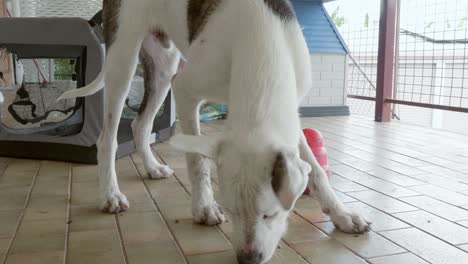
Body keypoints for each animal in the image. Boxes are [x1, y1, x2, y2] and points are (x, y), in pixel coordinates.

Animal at [60, 1, 370, 262]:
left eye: (269, 215)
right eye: (231, 210)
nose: (248, 259)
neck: (260, 47)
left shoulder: (290, 115)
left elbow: (316, 170)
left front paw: (343, 215)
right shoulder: (185, 90)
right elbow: (197, 162)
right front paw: (204, 207)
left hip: (164, 65)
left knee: (141, 125)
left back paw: (152, 167)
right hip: (124, 59)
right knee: (107, 138)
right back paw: (110, 194)